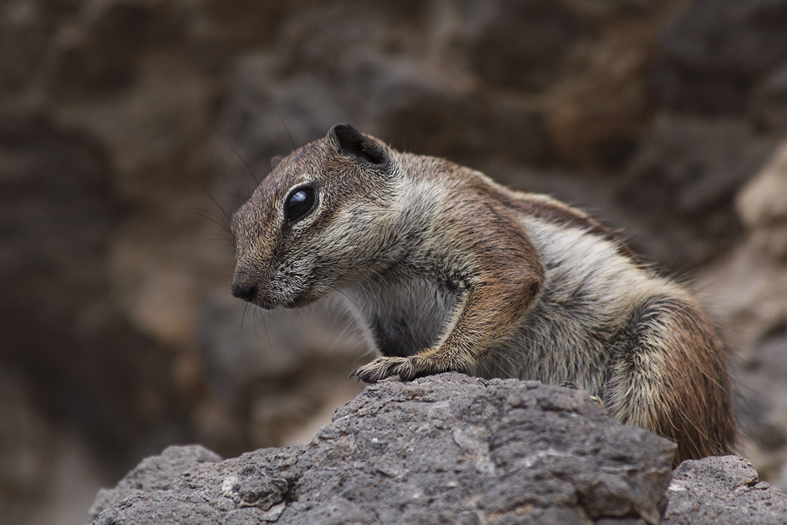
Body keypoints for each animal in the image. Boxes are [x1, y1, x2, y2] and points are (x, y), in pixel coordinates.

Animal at [231, 123, 736, 462]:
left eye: (300, 202)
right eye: (237, 220)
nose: (241, 288)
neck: (380, 275)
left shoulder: (473, 220)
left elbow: (506, 282)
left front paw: (424, 361)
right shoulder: (387, 320)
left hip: (666, 335)